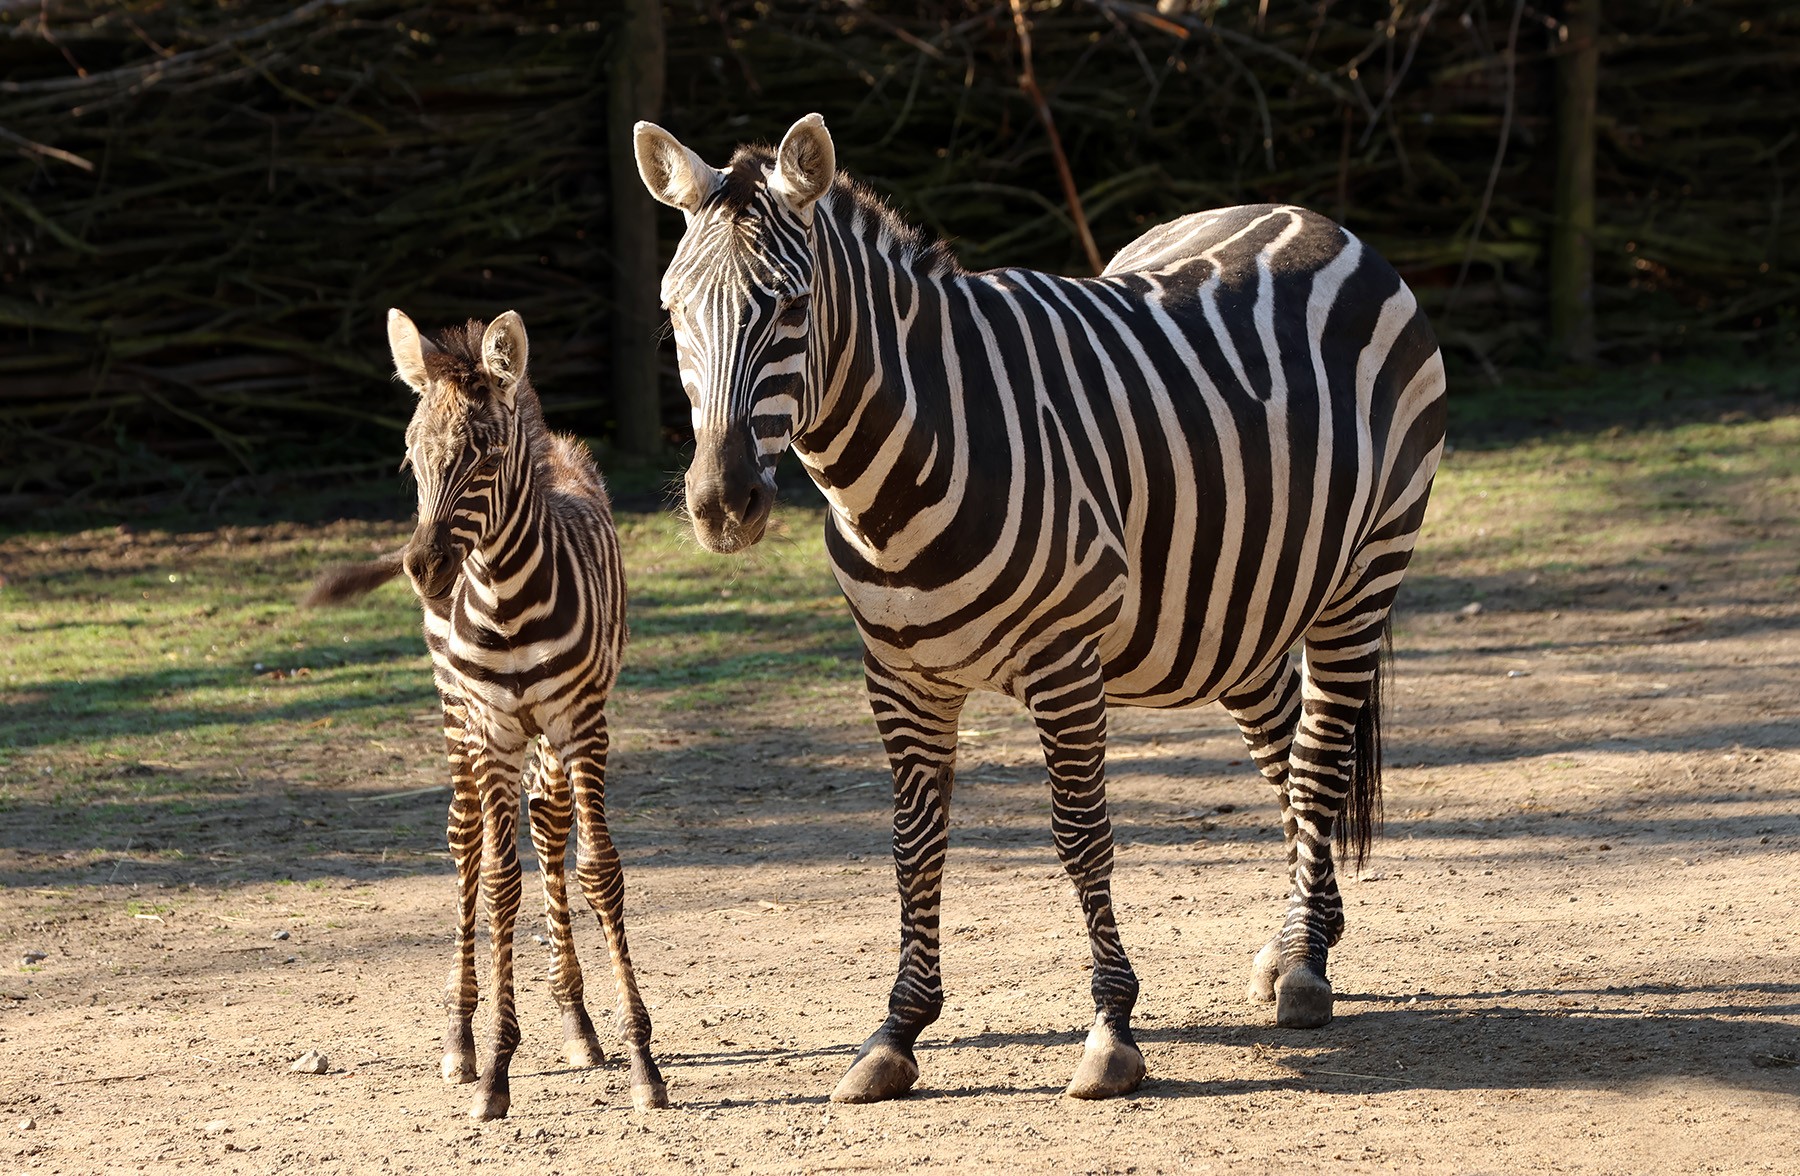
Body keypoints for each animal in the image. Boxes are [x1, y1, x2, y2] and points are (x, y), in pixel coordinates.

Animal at [303, 310, 668, 1119]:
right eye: (411, 458)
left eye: (484, 454)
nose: (424, 572)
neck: (507, 599)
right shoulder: (493, 730)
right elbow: (500, 882)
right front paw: (496, 1066)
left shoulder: (581, 724)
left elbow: (598, 870)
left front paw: (641, 1061)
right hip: (457, 720)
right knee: (467, 844)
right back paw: (460, 1038)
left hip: (550, 742)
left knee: (551, 833)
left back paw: (577, 1021)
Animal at [634, 113, 1447, 1103]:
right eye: (674, 314)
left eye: (789, 308)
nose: (722, 506)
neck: (900, 466)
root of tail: (1311, 217)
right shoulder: (899, 675)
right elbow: (914, 846)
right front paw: (896, 1033)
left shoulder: (1063, 659)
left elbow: (1080, 837)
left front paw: (1111, 1031)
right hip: (1237, 614)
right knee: (1287, 759)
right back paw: (1308, 935)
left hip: (1363, 578)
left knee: (1320, 762)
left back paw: (1301, 966)